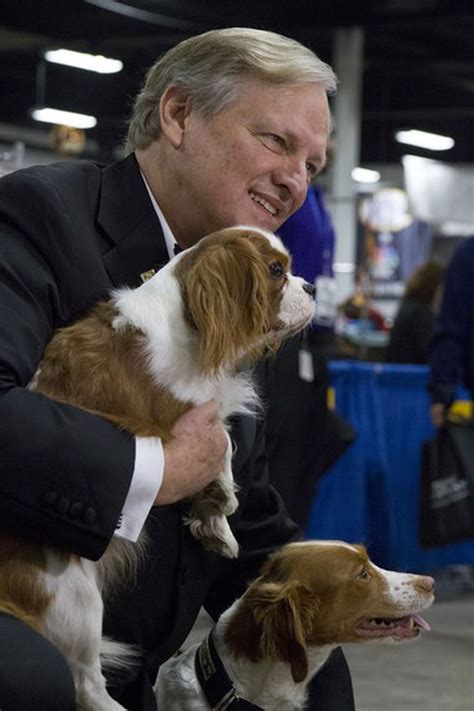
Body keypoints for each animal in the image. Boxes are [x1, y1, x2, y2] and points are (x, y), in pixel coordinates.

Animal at [0, 227, 316, 711]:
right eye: (277, 270)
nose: (312, 287)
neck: (190, 327)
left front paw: (215, 522)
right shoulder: (173, 420)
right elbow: (221, 442)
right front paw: (222, 498)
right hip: (72, 595)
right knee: (86, 685)